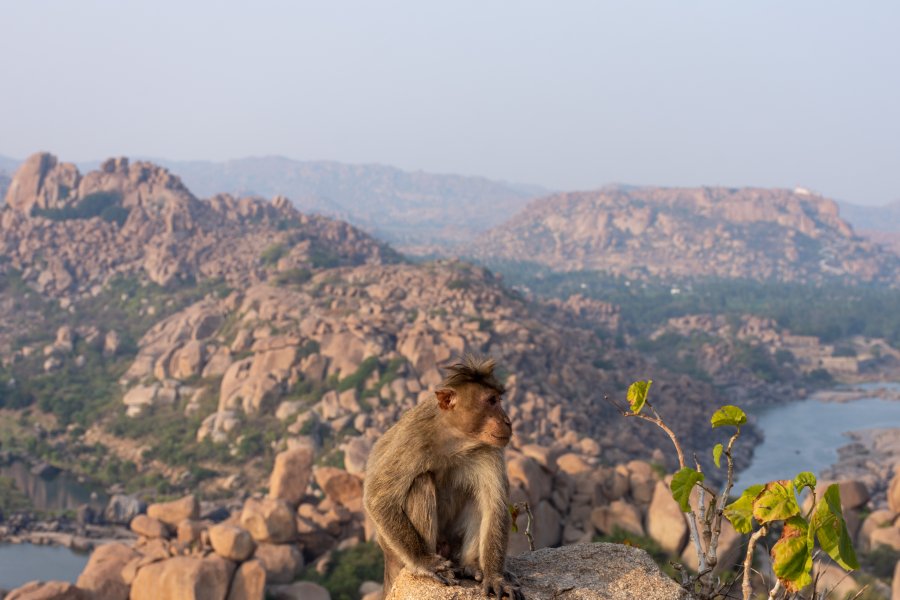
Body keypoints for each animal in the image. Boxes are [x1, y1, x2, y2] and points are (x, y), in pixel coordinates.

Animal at [364, 356, 524, 600]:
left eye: (498, 399)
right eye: (491, 401)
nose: (507, 421)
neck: (454, 440)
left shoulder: (488, 449)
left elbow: (494, 505)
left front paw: (495, 577)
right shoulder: (413, 438)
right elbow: (378, 498)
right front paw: (425, 562)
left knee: (478, 498)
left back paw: (470, 565)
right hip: (403, 550)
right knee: (421, 483)